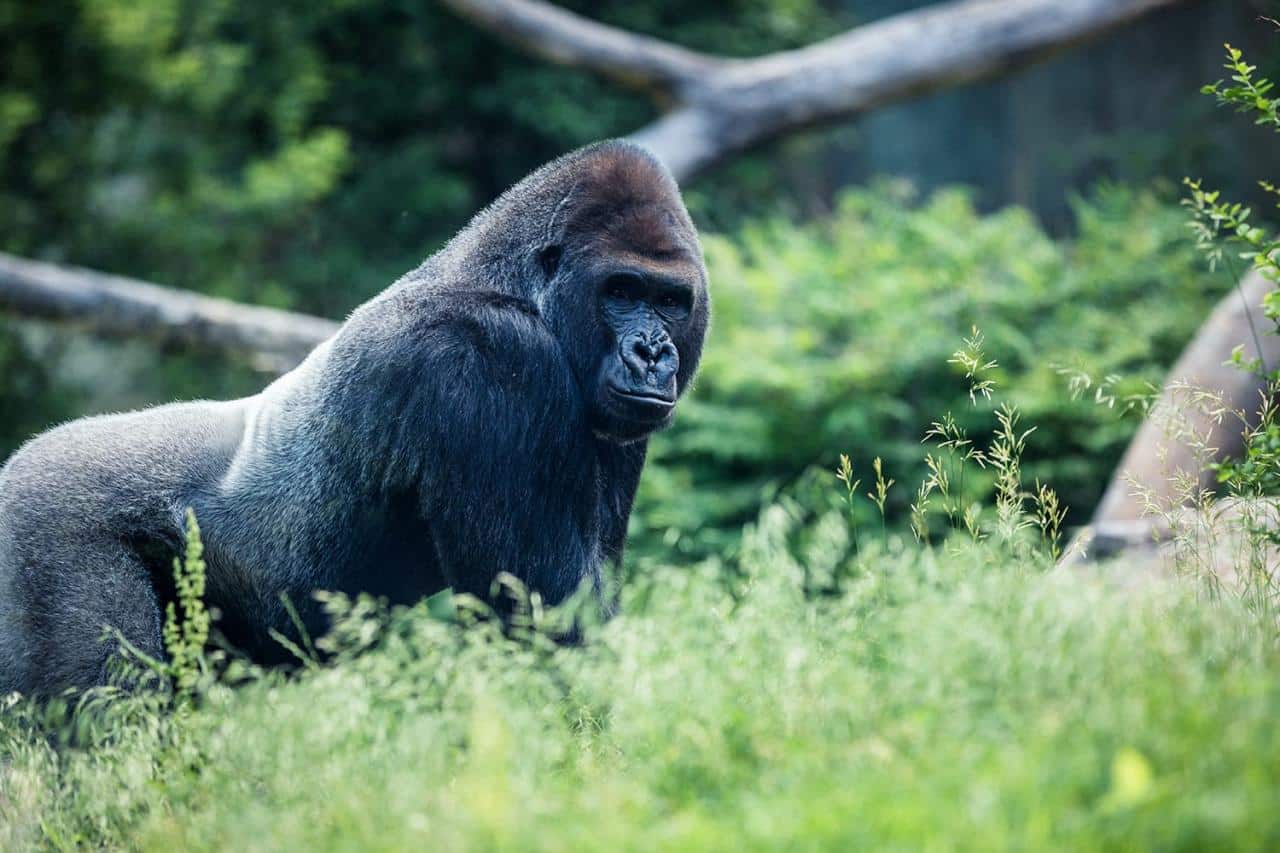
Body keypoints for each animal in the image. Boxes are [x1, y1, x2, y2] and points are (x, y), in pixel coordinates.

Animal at [0, 139, 711, 696]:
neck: (513, 285)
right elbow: (543, 631)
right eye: (621, 291)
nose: (652, 353)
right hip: (42, 529)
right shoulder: (495, 359)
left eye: (670, 301)